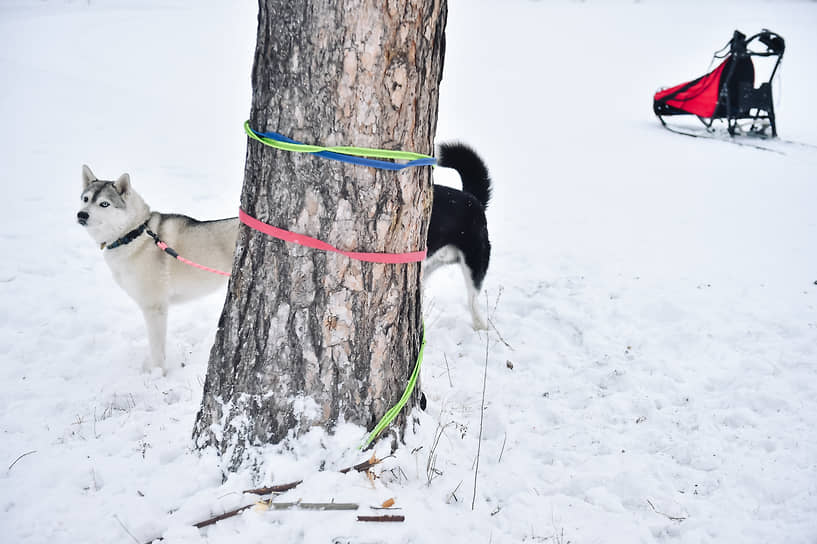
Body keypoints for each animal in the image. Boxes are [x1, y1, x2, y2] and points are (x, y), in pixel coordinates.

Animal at [77, 167, 239, 374]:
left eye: (104, 204)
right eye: (86, 199)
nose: (81, 215)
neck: (133, 234)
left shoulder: (155, 306)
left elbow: (157, 348)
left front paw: (156, 373)